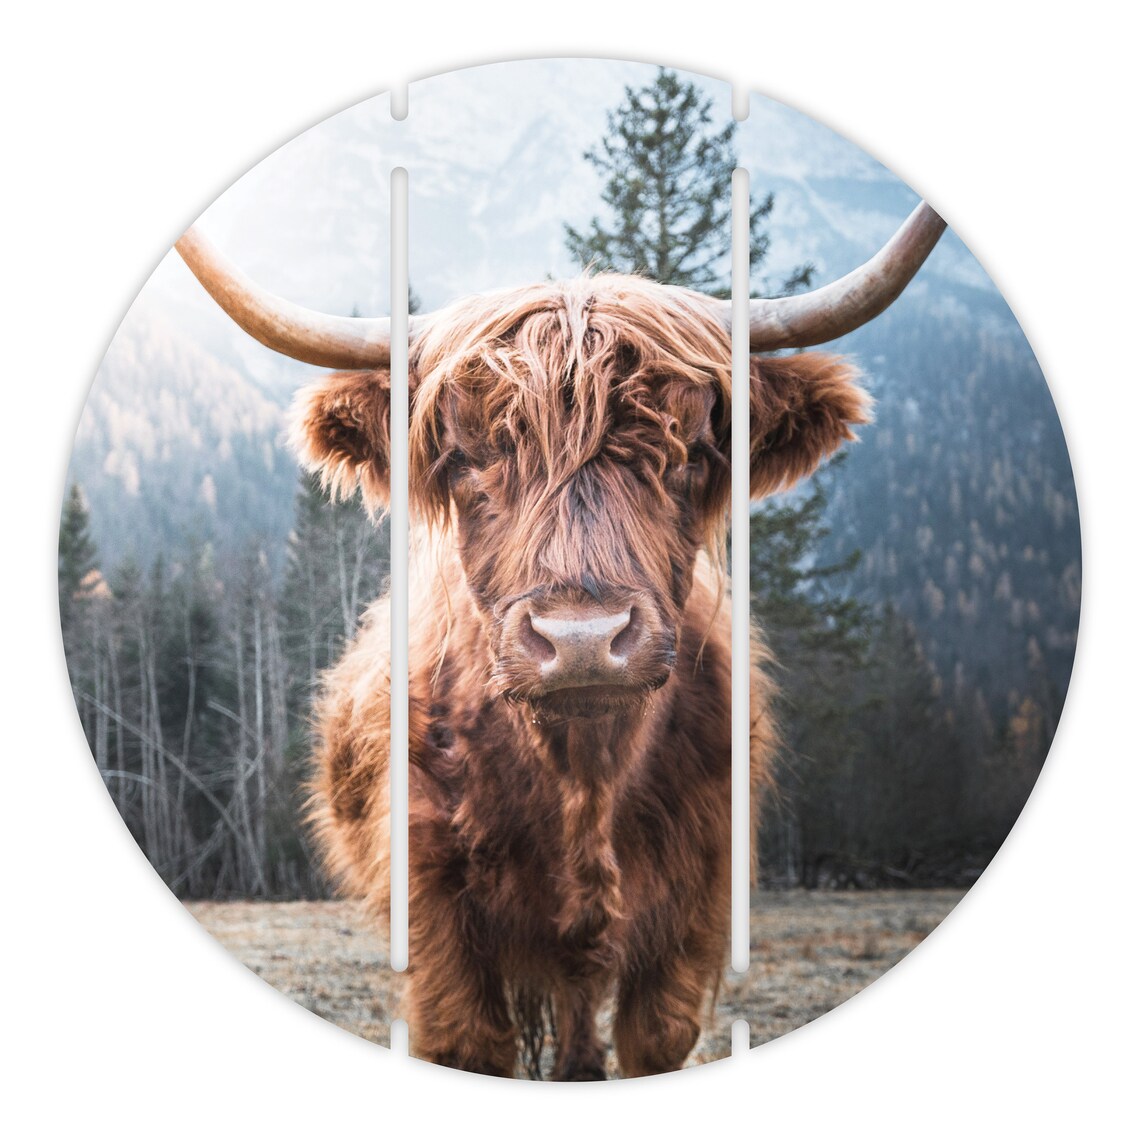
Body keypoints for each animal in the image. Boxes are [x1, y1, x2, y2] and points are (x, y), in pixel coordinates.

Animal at [175, 202, 945, 1078]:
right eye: (464, 456)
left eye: (691, 452)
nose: (582, 639)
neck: (582, 778)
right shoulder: (435, 918)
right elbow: (471, 1042)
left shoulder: (696, 907)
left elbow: (654, 1038)